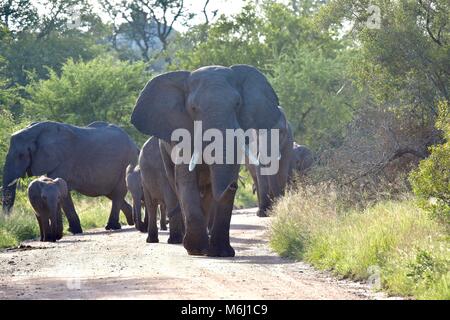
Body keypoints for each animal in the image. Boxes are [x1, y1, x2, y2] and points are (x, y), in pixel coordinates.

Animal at [2, 121, 137, 231]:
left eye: (21, 155)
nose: (8, 222)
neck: (34, 132)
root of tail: (134, 143)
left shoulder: (63, 161)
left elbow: (62, 190)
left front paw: (74, 230)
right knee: (111, 193)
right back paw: (130, 222)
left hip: (127, 162)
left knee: (117, 193)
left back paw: (111, 226)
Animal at [130, 65, 284, 258]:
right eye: (193, 108)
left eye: (237, 104)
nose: (233, 186)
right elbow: (186, 181)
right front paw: (196, 250)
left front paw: (220, 253)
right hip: (163, 151)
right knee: (175, 185)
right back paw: (180, 241)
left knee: (207, 191)